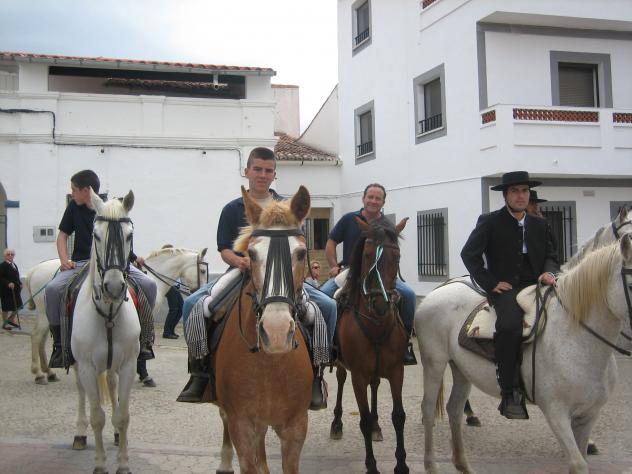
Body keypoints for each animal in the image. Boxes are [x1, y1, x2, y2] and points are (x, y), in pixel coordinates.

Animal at [25, 246, 208, 384]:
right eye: (202, 270)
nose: (202, 291)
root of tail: (34, 269)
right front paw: (144, 374)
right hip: (45, 314)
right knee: (36, 337)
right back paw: (39, 373)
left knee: (41, 339)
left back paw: (48, 372)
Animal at [212, 185, 313, 474]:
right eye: (252, 255)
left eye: (301, 253)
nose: (276, 333)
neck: (270, 366)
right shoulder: (241, 426)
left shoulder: (296, 428)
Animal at [329, 216, 410, 474]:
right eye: (366, 255)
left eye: (397, 256)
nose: (380, 304)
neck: (376, 324)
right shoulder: (359, 375)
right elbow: (362, 419)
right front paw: (372, 465)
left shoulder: (396, 371)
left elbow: (398, 416)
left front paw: (401, 464)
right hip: (344, 366)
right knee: (341, 379)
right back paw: (336, 423)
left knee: (375, 385)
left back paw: (376, 426)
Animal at [415, 234, 632, 474]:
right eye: (631, 284)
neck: (576, 339)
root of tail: (436, 292)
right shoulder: (556, 413)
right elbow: (578, 464)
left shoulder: (588, 416)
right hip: (434, 363)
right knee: (428, 409)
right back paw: (431, 465)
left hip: (461, 369)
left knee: (454, 409)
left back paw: (463, 464)